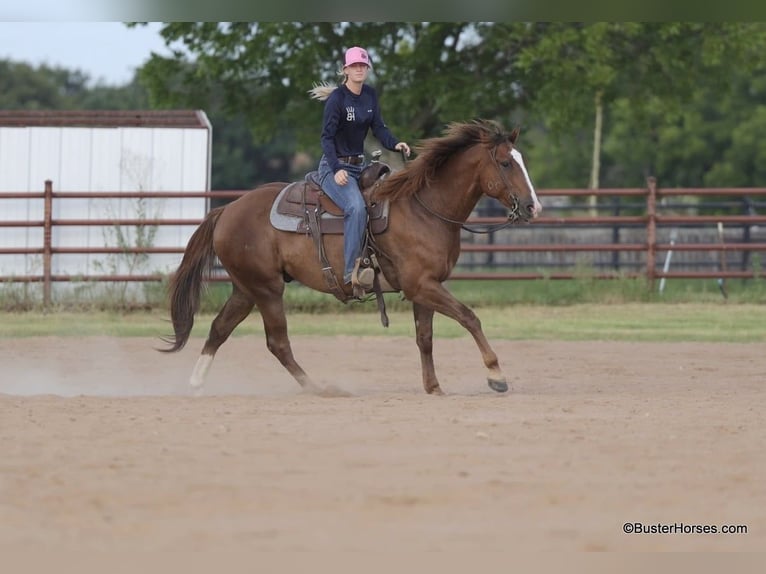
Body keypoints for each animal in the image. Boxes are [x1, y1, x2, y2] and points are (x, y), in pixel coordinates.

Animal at [161, 119, 542, 395]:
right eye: (506, 163)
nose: (532, 207)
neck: (425, 209)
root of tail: (227, 210)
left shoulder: (424, 288)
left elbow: (425, 338)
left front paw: (433, 387)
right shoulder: (422, 285)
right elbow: (469, 317)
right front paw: (496, 375)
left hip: (246, 288)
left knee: (219, 329)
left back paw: (196, 384)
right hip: (266, 289)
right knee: (277, 342)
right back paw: (319, 388)